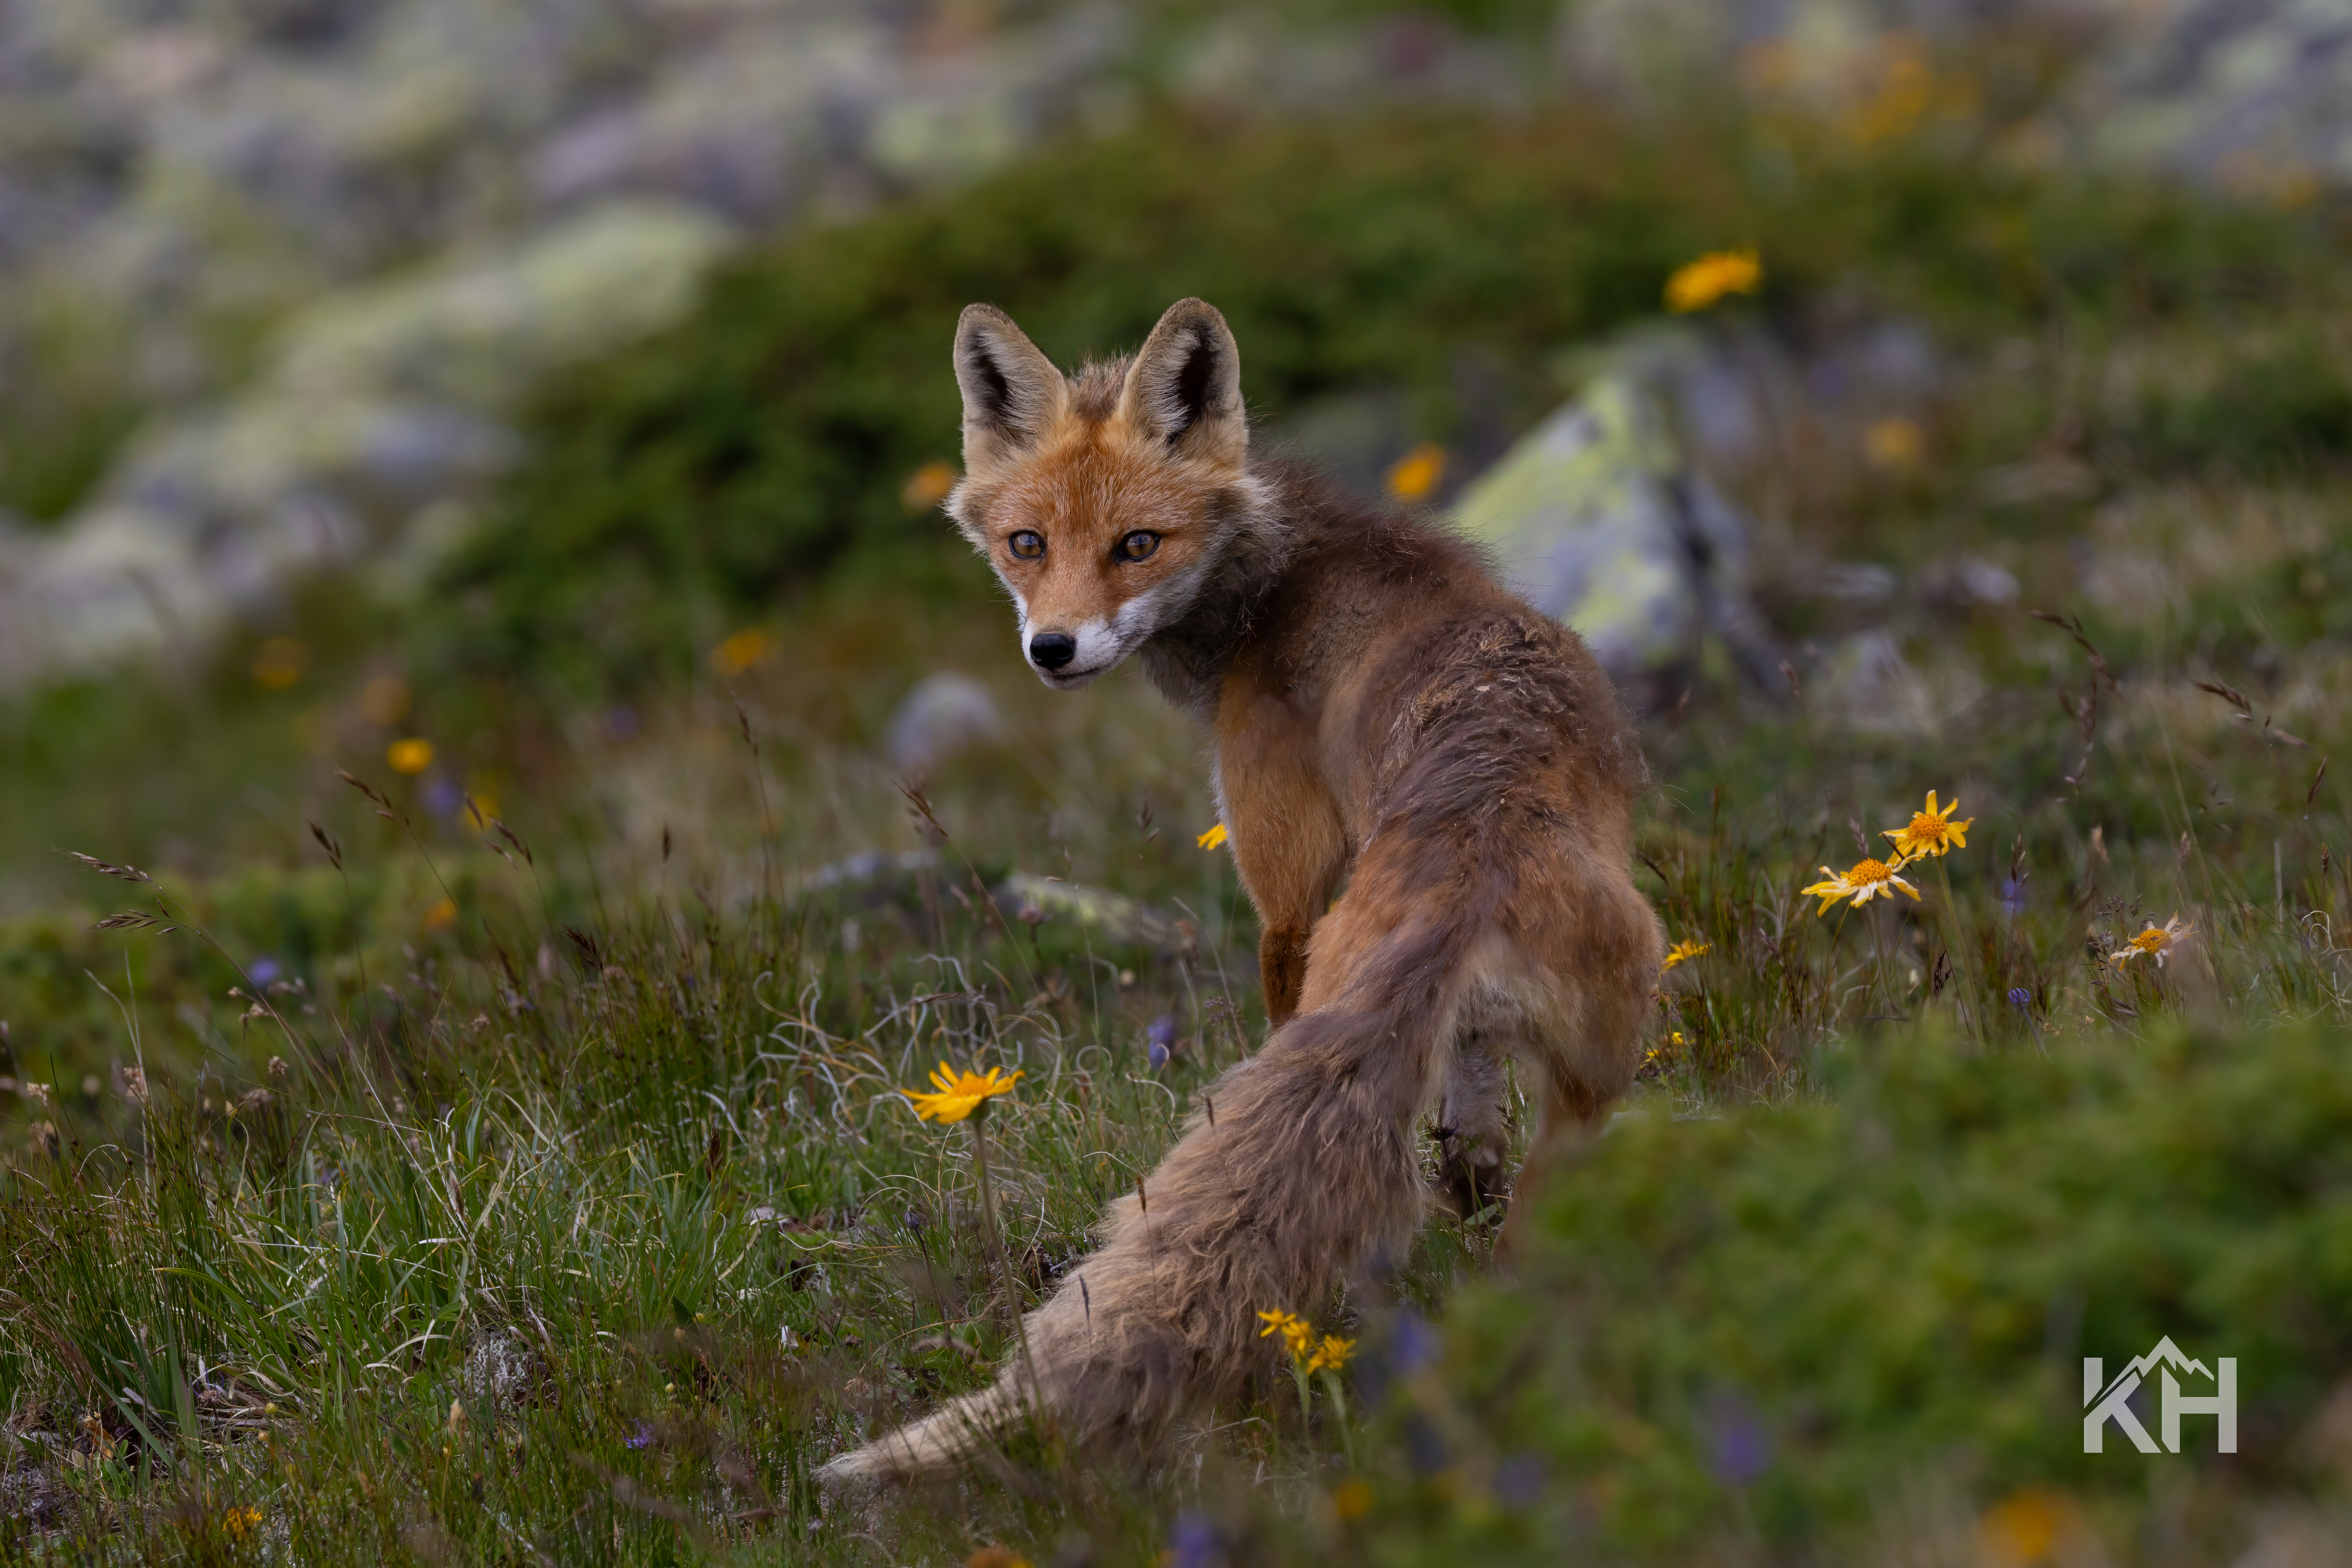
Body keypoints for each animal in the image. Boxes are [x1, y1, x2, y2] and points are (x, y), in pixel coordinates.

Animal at [818, 297, 1662, 1487]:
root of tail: (1473, 852)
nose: (1051, 648)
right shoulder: (1468, 1035)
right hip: (1592, 1074)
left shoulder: (1283, 894)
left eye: (1136, 545)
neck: (1277, 586)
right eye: (1028, 545)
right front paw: (1465, 1173)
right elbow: (1468, 1104)